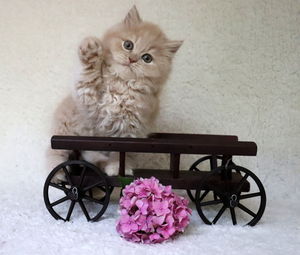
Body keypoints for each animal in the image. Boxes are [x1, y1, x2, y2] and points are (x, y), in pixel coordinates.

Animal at [48, 5, 182, 179]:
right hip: (66, 130)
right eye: (128, 45)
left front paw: (118, 170)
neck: (120, 85)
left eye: (147, 58)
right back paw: (57, 175)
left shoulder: (129, 130)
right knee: (55, 153)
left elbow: (121, 154)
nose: (132, 59)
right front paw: (91, 52)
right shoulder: (88, 101)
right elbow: (88, 76)